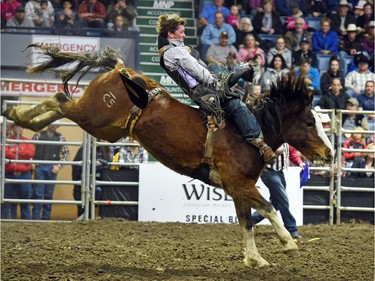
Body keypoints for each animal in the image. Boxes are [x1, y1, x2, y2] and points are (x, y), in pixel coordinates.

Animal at [2, 44, 332, 268]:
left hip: (105, 128)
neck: (249, 133)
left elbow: (246, 221)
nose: (329, 152)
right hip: (93, 116)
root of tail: (120, 69)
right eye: (308, 122)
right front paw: (288, 245)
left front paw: (255, 259)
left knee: (58, 104)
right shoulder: (240, 184)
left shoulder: (238, 187)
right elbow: (269, 208)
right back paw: (16, 112)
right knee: (59, 100)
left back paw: (18, 114)